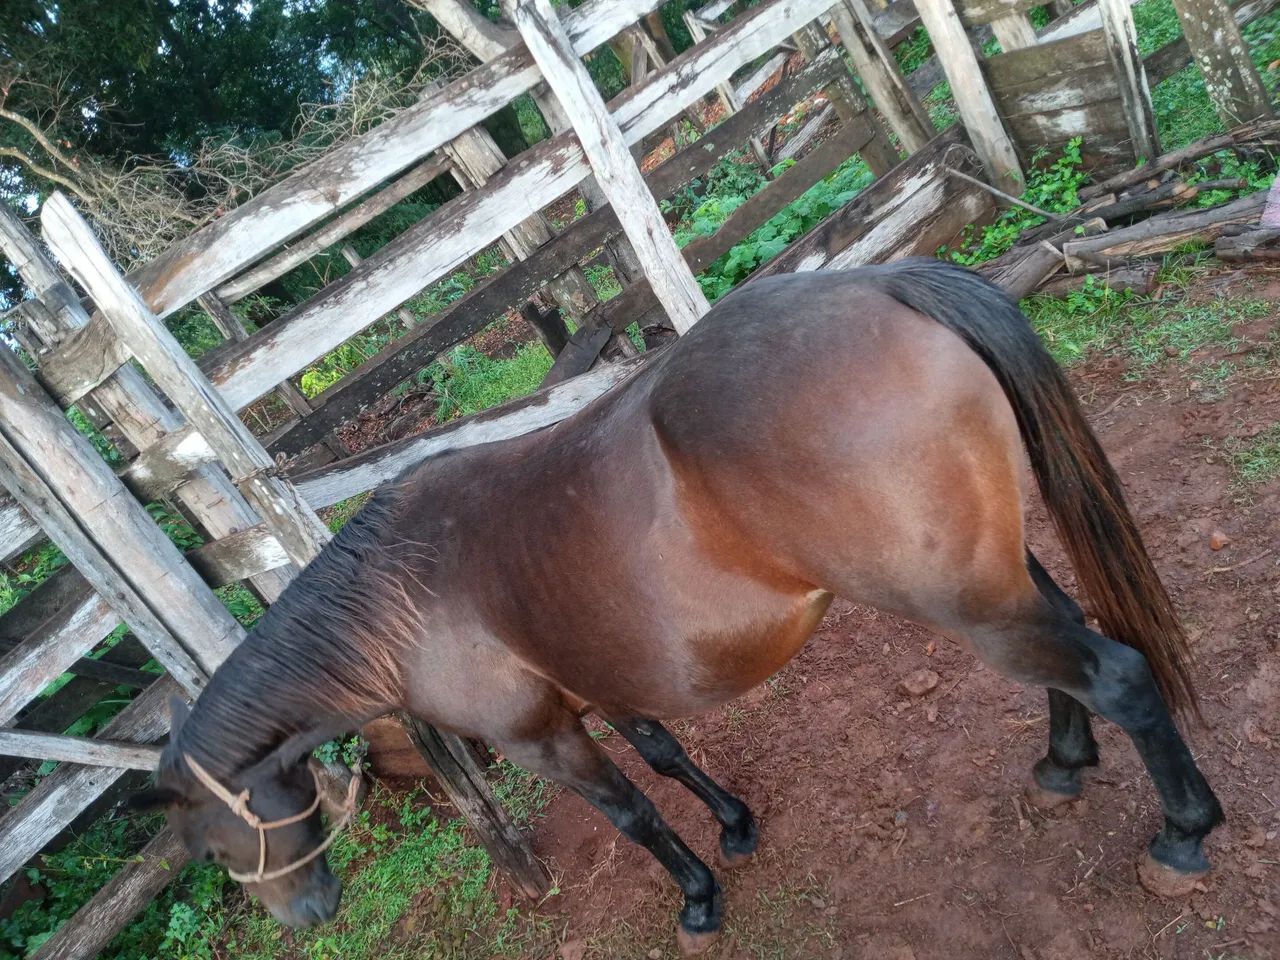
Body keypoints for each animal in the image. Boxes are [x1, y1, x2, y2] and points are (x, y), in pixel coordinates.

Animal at [129, 259, 1223, 954]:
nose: (305, 916)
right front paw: (734, 826)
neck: (409, 590)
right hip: (989, 579)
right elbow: (663, 754)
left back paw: (1181, 833)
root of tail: (876, 280)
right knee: (1068, 659)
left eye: (214, 844)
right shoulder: (601, 680)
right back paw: (1062, 763)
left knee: (1118, 674)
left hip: (970, 603)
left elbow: (631, 811)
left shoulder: (540, 736)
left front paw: (698, 897)